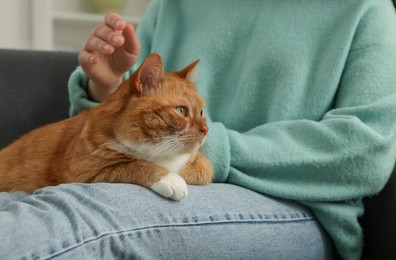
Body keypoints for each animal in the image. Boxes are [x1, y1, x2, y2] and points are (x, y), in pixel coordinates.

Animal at [0, 52, 213, 199]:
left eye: (202, 112)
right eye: (181, 111)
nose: (206, 130)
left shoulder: (199, 163)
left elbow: (205, 169)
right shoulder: (85, 172)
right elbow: (133, 164)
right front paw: (168, 177)